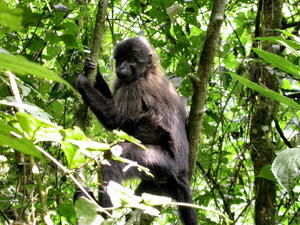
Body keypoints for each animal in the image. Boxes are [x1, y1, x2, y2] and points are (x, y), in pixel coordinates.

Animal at [74, 37, 198, 225]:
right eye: (121, 60)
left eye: (131, 60)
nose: (121, 67)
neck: (145, 73)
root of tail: (182, 170)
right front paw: (94, 72)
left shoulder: (136, 87)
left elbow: (113, 119)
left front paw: (84, 83)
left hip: (159, 161)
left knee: (114, 158)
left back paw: (103, 212)